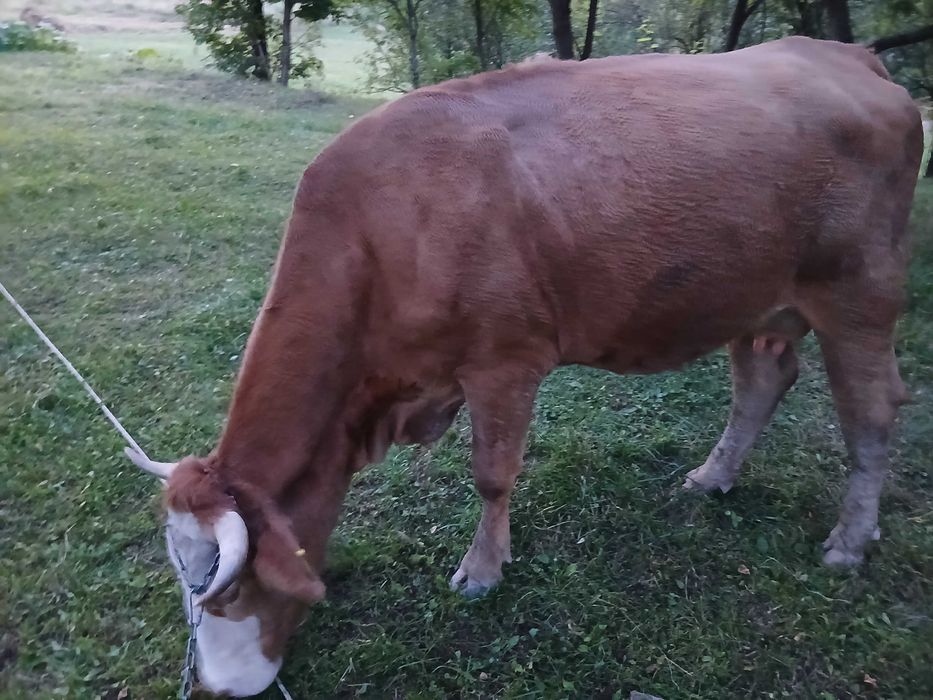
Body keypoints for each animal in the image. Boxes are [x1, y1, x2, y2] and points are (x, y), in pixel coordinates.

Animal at [127, 37, 921, 696]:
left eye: (230, 591)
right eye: (180, 579)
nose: (215, 689)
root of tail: (845, 54)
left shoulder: (504, 360)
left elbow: (491, 475)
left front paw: (482, 570)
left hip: (859, 292)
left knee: (871, 411)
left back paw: (850, 540)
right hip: (751, 296)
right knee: (762, 382)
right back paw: (713, 477)